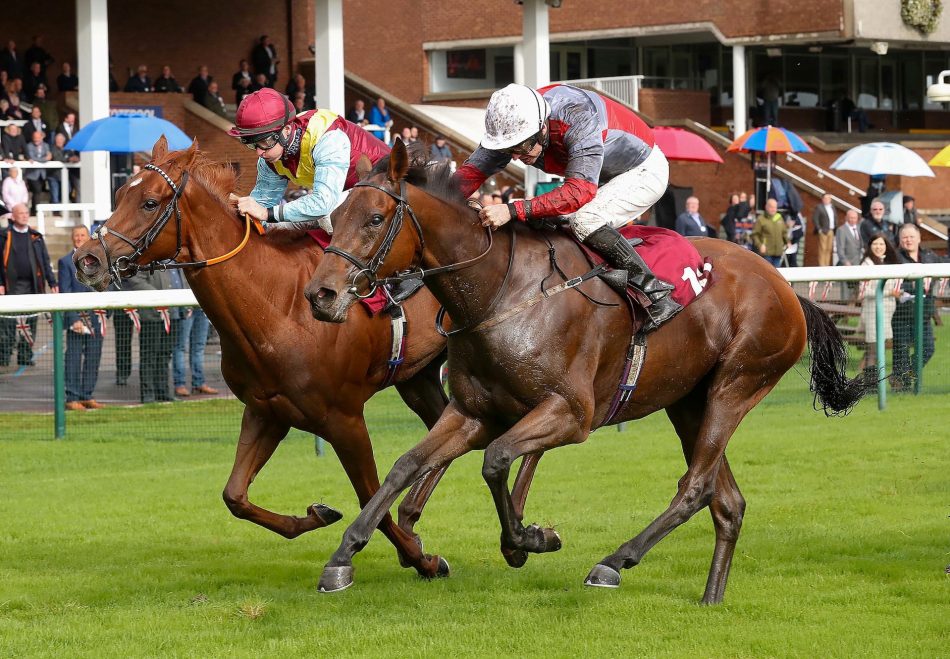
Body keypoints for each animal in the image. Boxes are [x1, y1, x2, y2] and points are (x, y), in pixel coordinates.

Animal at [73, 137, 452, 580]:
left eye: (150, 203)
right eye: (118, 195)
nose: (86, 260)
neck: (279, 306)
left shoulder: (345, 418)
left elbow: (370, 495)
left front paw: (420, 557)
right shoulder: (267, 411)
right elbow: (234, 495)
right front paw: (318, 515)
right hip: (418, 377)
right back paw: (413, 514)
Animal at [303, 139, 873, 602]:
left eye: (375, 219)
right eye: (335, 213)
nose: (320, 294)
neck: (499, 291)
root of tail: (786, 288)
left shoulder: (571, 413)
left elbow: (496, 460)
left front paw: (529, 539)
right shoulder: (471, 413)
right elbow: (405, 464)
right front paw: (343, 556)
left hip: (736, 386)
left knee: (695, 486)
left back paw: (613, 562)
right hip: (689, 400)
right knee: (725, 499)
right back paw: (710, 598)